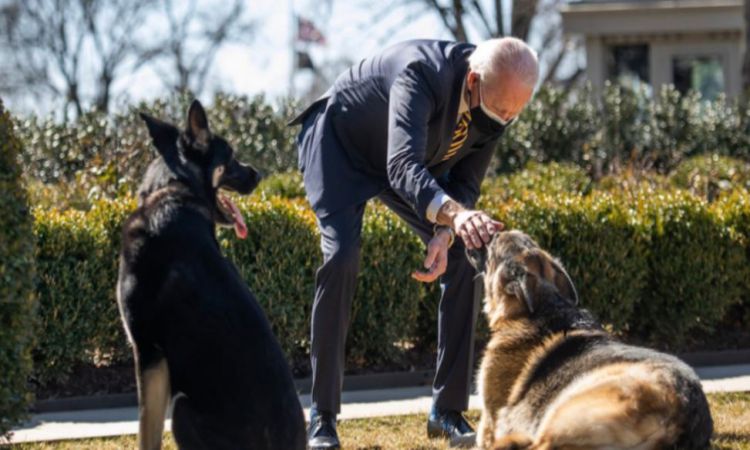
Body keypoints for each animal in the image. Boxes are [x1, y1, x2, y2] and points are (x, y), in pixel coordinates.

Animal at [117, 100, 306, 448]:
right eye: (229, 157)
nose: (258, 174)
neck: (173, 190)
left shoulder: (148, 353)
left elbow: (146, 435)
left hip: (181, 408)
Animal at [468, 232, 712, 450]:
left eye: (493, 244)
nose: (485, 233)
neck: (545, 305)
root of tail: (680, 420)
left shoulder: (489, 421)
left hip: (565, 410)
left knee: (538, 445)